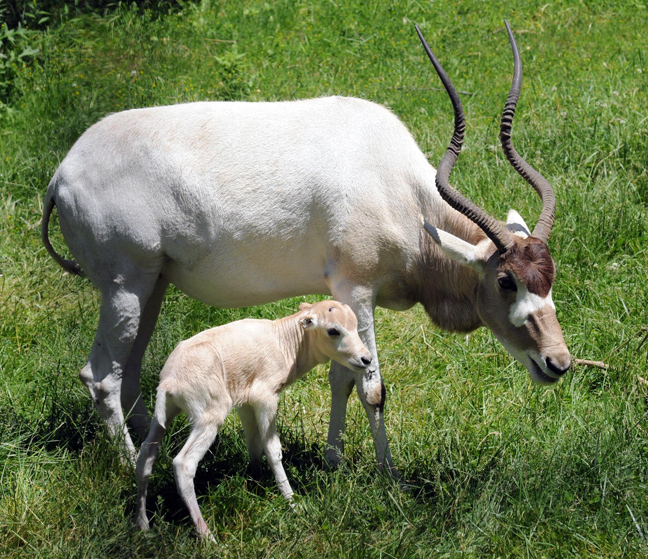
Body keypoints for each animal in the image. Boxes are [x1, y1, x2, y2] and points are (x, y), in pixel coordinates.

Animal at [40, 21, 568, 472]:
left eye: (550, 276)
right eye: (505, 280)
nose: (558, 363)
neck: (397, 185)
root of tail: (61, 175)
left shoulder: (341, 299)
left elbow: (342, 376)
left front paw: (334, 462)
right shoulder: (357, 288)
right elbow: (371, 387)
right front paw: (389, 476)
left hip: (153, 285)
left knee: (128, 372)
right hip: (124, 286)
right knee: (102, 377)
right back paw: (128, 464)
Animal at [134, 302, 372, 544]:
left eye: (355, 325)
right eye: (333, 330)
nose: (366, 359)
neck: (283, 342)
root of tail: (169, 382)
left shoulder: (246, 402)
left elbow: (254, 443)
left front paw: (255, 479)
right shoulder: (264, 397)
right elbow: (273, 449)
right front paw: (292, 503)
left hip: (165, 414)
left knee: (145, 455)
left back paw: (143, 525)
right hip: (209, 415)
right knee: (183, 464)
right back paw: (208, 538)